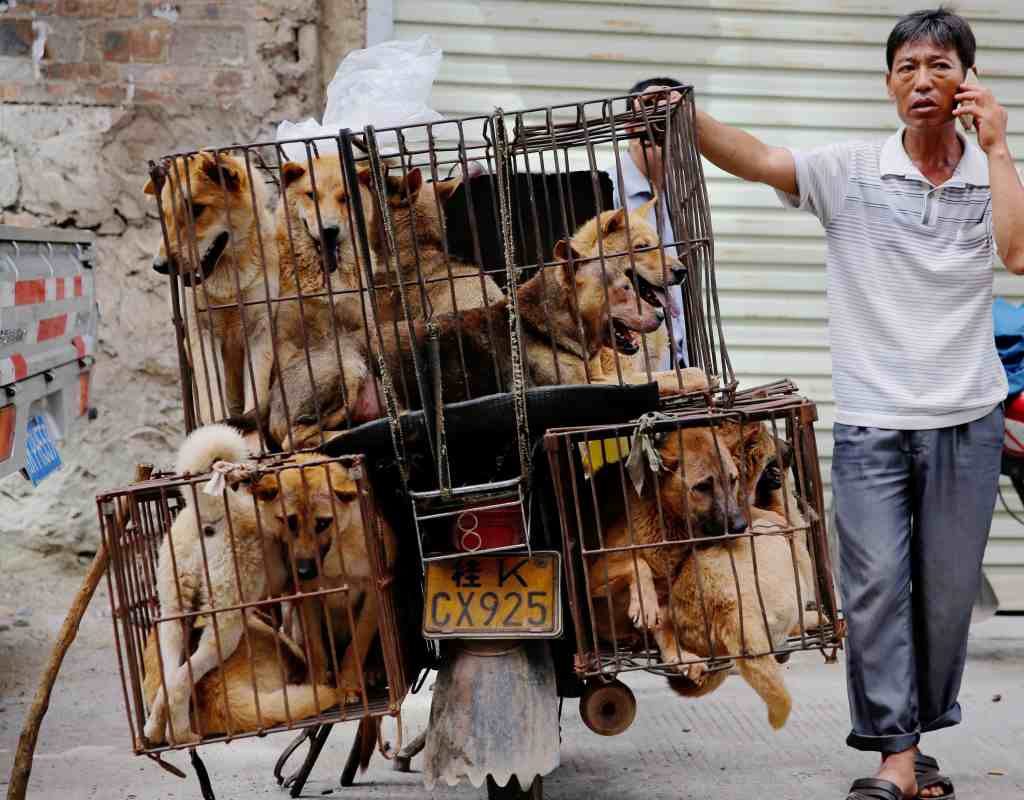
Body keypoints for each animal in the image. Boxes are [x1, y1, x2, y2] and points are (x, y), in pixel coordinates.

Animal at [145, 151, 280, 424]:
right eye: (165, 215)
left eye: (196, 209)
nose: (159, 266)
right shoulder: (201, 333)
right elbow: (212, 401)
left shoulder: (260, 330)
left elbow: (256, 394)